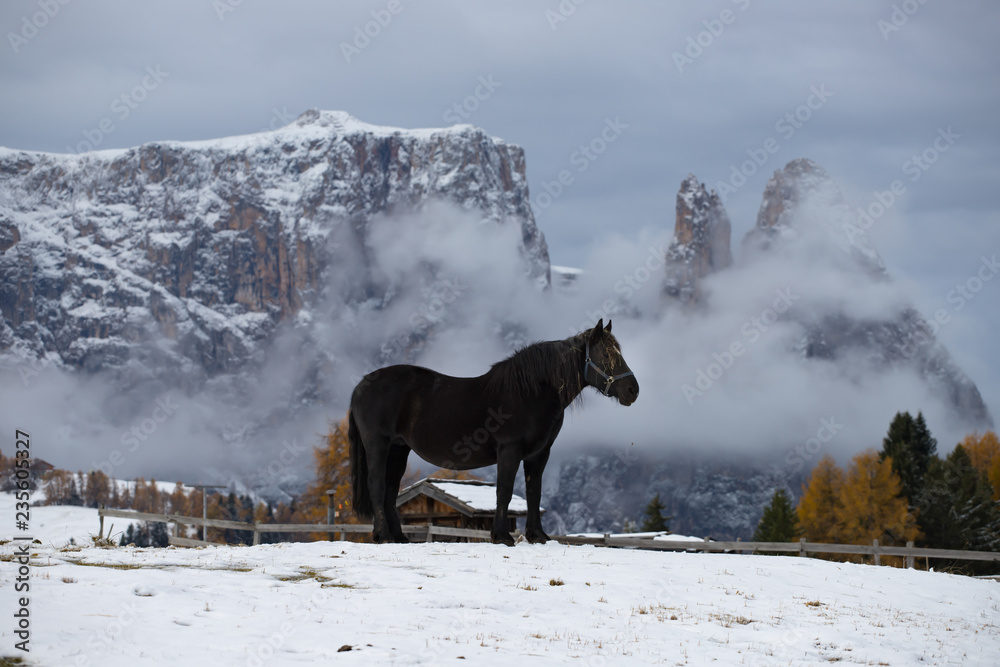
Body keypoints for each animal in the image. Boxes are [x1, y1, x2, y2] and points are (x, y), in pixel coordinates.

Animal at [348, 319, 639, 545]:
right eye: (606, 355)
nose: (632, 391)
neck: (531, 392)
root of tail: (361, 385)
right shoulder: (509, 450)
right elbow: (505, 491)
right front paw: (501, 536)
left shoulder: (539, 454)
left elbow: (534, 493)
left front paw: (538, 536)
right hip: (378, 445)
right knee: (377, 486)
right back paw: (384, 536)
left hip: (399, 449)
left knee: (390, 489)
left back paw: (398, 537)